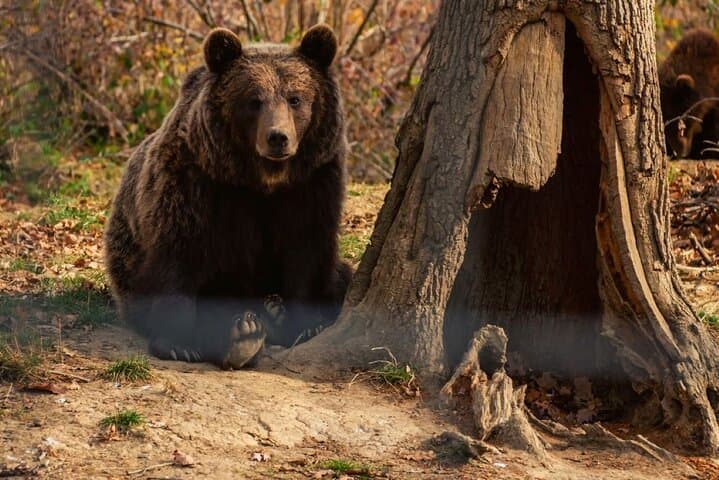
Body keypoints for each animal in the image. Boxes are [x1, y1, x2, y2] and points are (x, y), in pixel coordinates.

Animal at [104, 25, 352, 369]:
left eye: (295, 98)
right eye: (254, 100)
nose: (278, 138)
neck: (262, 179)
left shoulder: (313, 183)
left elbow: (307, 249)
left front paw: (306, 324)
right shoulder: (196, 182)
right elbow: (179, 254)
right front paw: (177, 344)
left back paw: (271, 313)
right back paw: (244, 333)